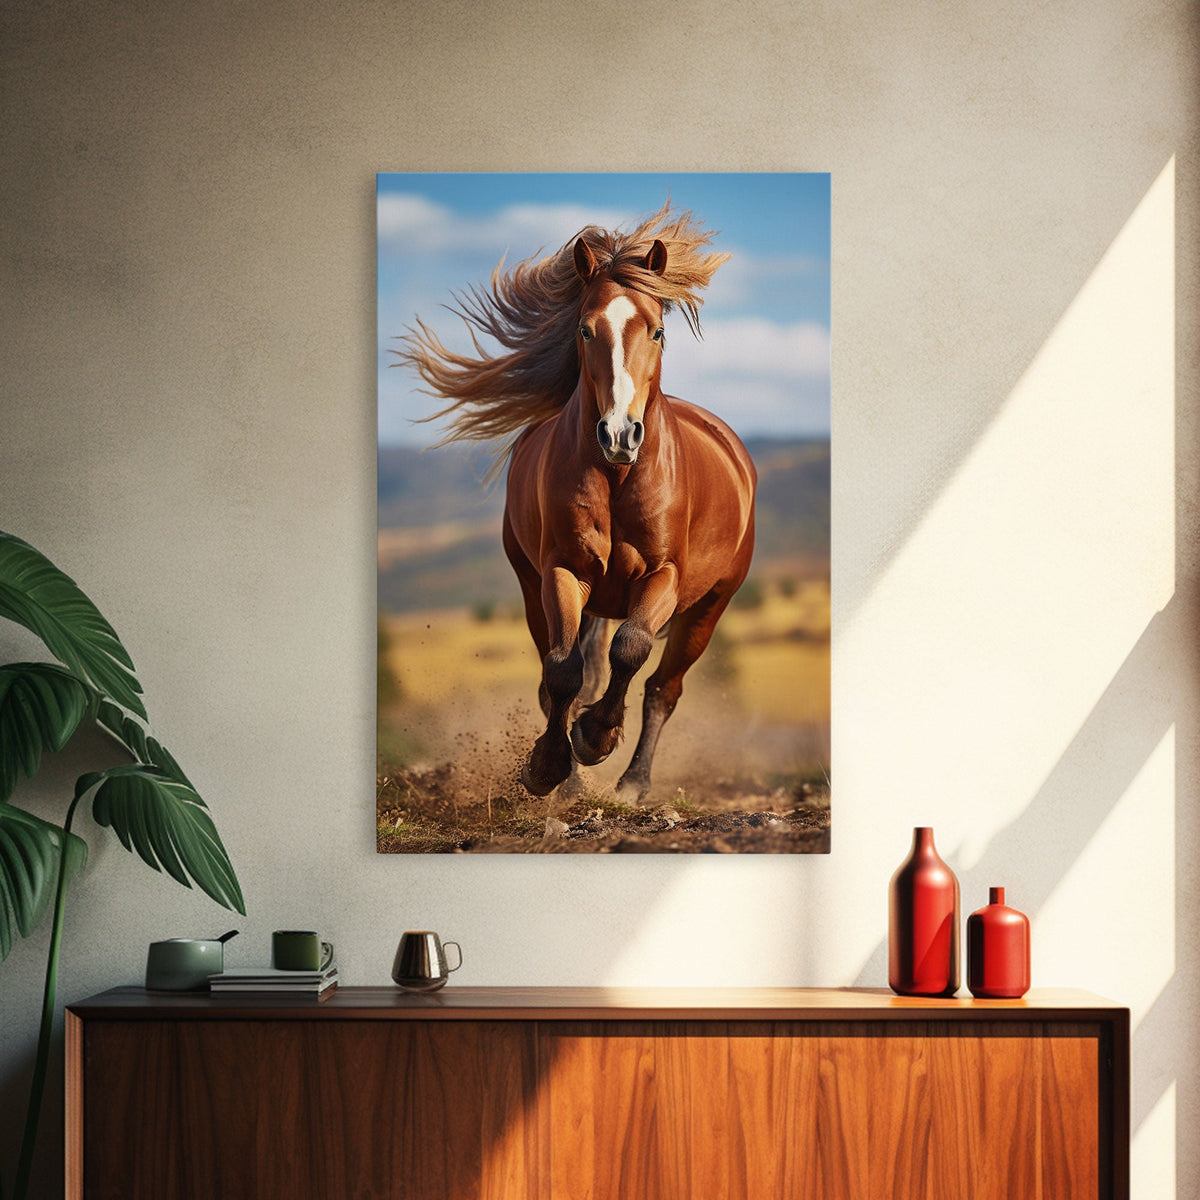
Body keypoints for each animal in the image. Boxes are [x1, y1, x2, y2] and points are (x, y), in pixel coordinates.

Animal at [398, 203, 757, 802]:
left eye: (658, 330)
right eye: (585, 329)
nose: (619, 434)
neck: (618, 478)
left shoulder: (664, 576)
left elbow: (630, 649)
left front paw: (595, 737)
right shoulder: (562, 571)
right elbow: (564, 672)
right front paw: (549, 767)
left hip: (709, 606)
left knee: (663, 688)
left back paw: (633, 782)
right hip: (536, 589)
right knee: (564, 675)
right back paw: (572, 781)